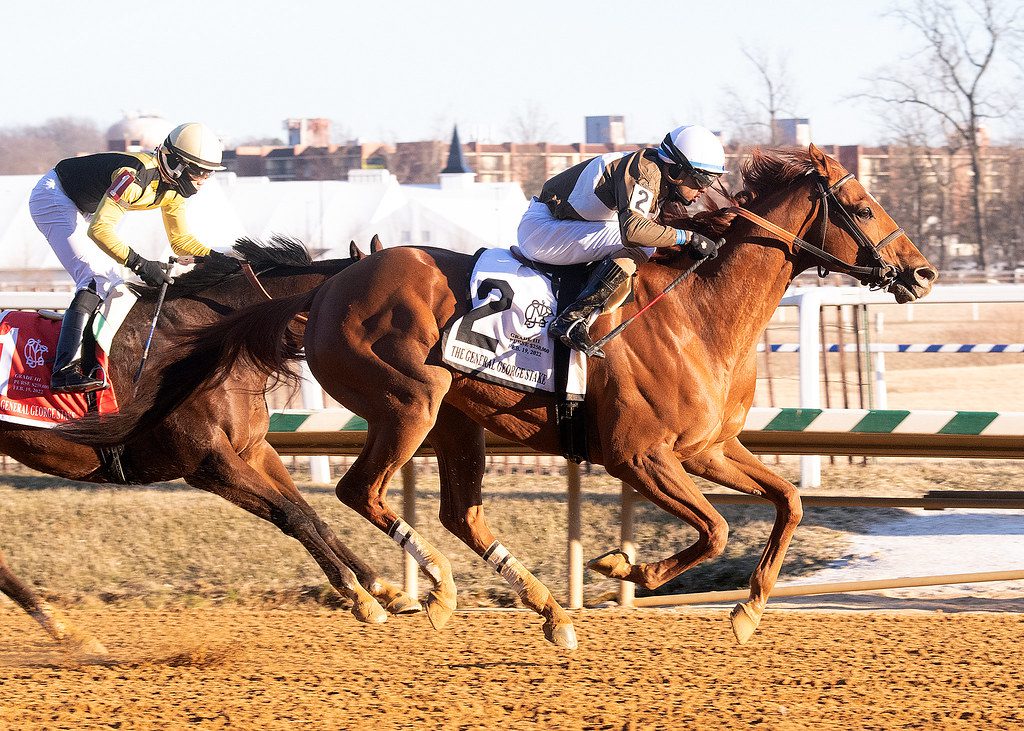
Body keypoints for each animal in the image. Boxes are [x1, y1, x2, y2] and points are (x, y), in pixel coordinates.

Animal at [1, 234, 415, 659]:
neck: (216, 341)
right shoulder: (209, 464)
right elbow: (292, 516)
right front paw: (359, 597)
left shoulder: (253, 450)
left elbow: (314, 517)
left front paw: (386, 589)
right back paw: (70, 634)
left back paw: (69, 633)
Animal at [58, 145, 937, 647]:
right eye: (862, 205)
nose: (923, 271)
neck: (701, 312)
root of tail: (336, 276)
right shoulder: (640, 455)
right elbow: (717, 527)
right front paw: (625, 564)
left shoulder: (710, 446)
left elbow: (786, 500)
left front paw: (748, 610)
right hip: (409, 401)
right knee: (359, 491)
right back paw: (432, 593)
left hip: (456, 421)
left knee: (459, 512)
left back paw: (548, 611)